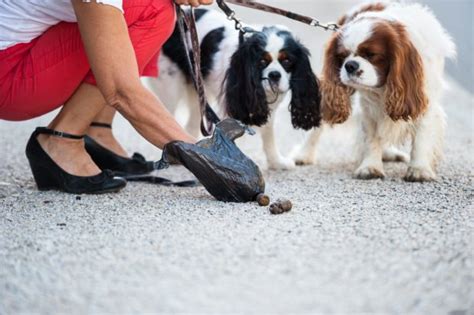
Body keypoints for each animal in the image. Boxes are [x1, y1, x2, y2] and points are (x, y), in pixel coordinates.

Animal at [146, 8, 320, 170]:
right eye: (262, 61)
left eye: (287, 61)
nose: (274, 75)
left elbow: (268, 136)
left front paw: (276, 162)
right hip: (170, 86)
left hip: (200, 90)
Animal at [296, 1, 456, 183]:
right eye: (342, 56)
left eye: (371, 54)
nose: (350, 65)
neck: (384, 88)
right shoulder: (369, 109)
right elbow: (371, 139)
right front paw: (370, 167)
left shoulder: (425, 105)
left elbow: (421, 140)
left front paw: (419, 169)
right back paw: (304, 154)